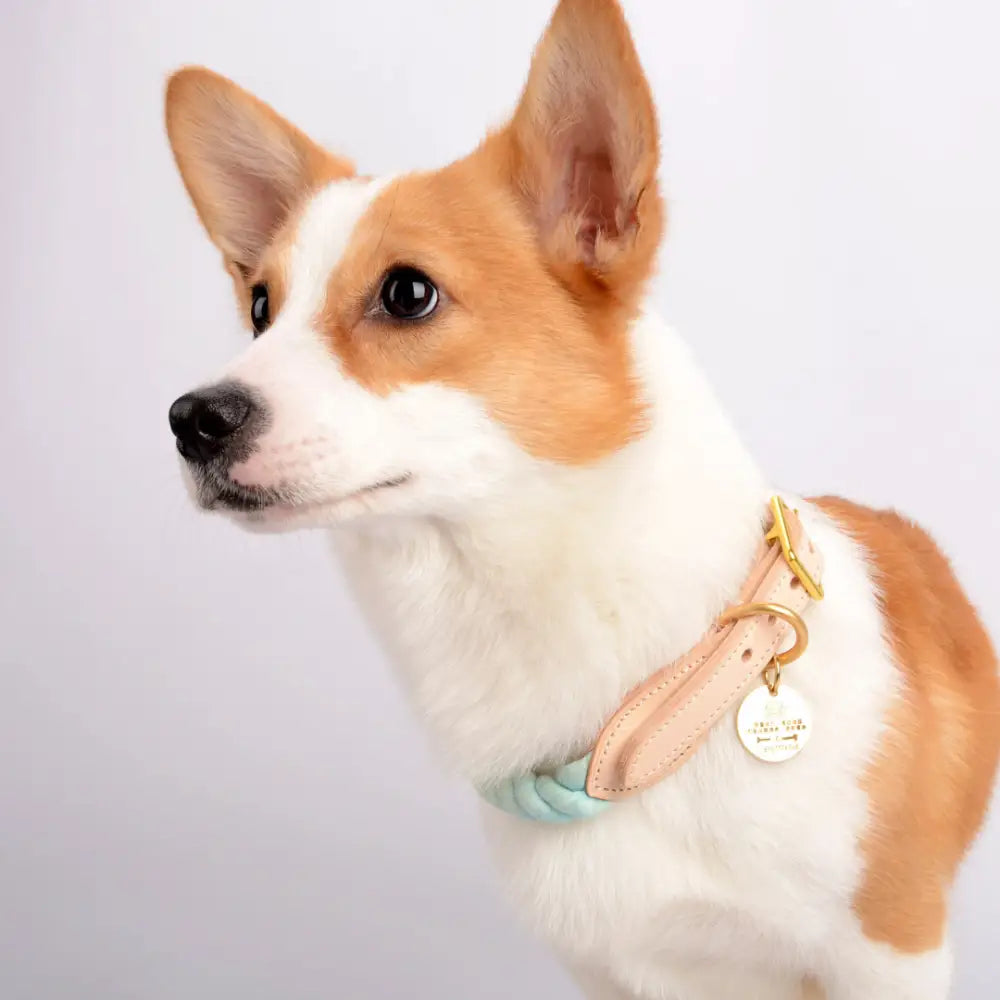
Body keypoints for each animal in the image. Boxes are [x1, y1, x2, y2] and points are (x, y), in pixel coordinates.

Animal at [163, 1, 1000, 996]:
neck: (656, 694)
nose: (192, 420)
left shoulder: (890, 954)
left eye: (407, 292)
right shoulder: (613, 972)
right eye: (260, 308)